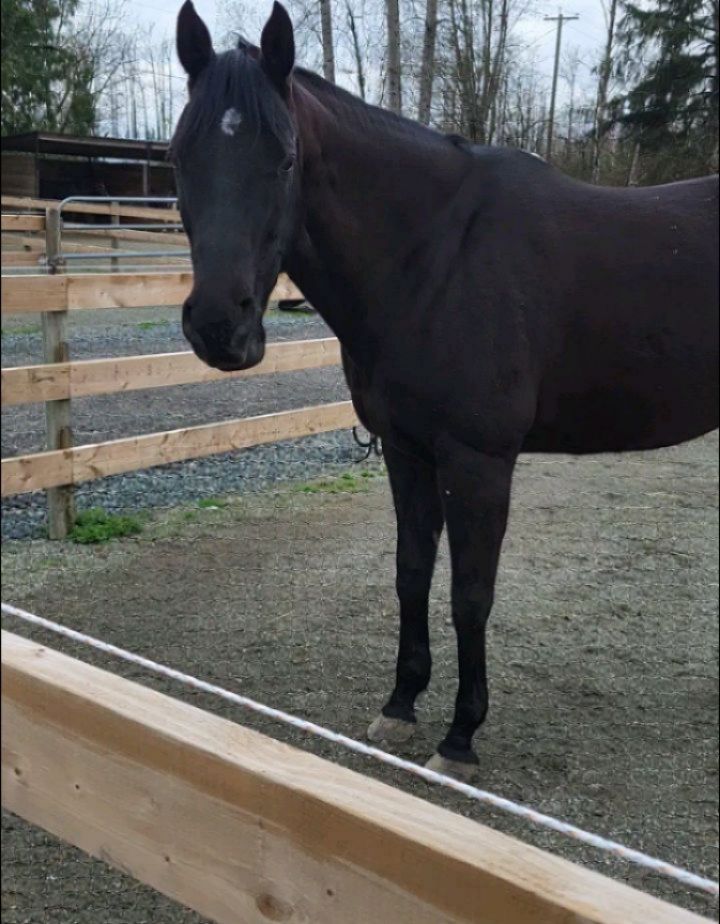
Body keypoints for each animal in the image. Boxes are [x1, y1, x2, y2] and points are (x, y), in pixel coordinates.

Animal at [171, 0, 719, 778]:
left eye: (284, 160)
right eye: (178, 159)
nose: (221, 327)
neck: (434, 256)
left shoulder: (477, 461)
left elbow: (469, 593)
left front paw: (461, 736)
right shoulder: (407, 450)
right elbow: (411, 572)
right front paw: (401, 705)